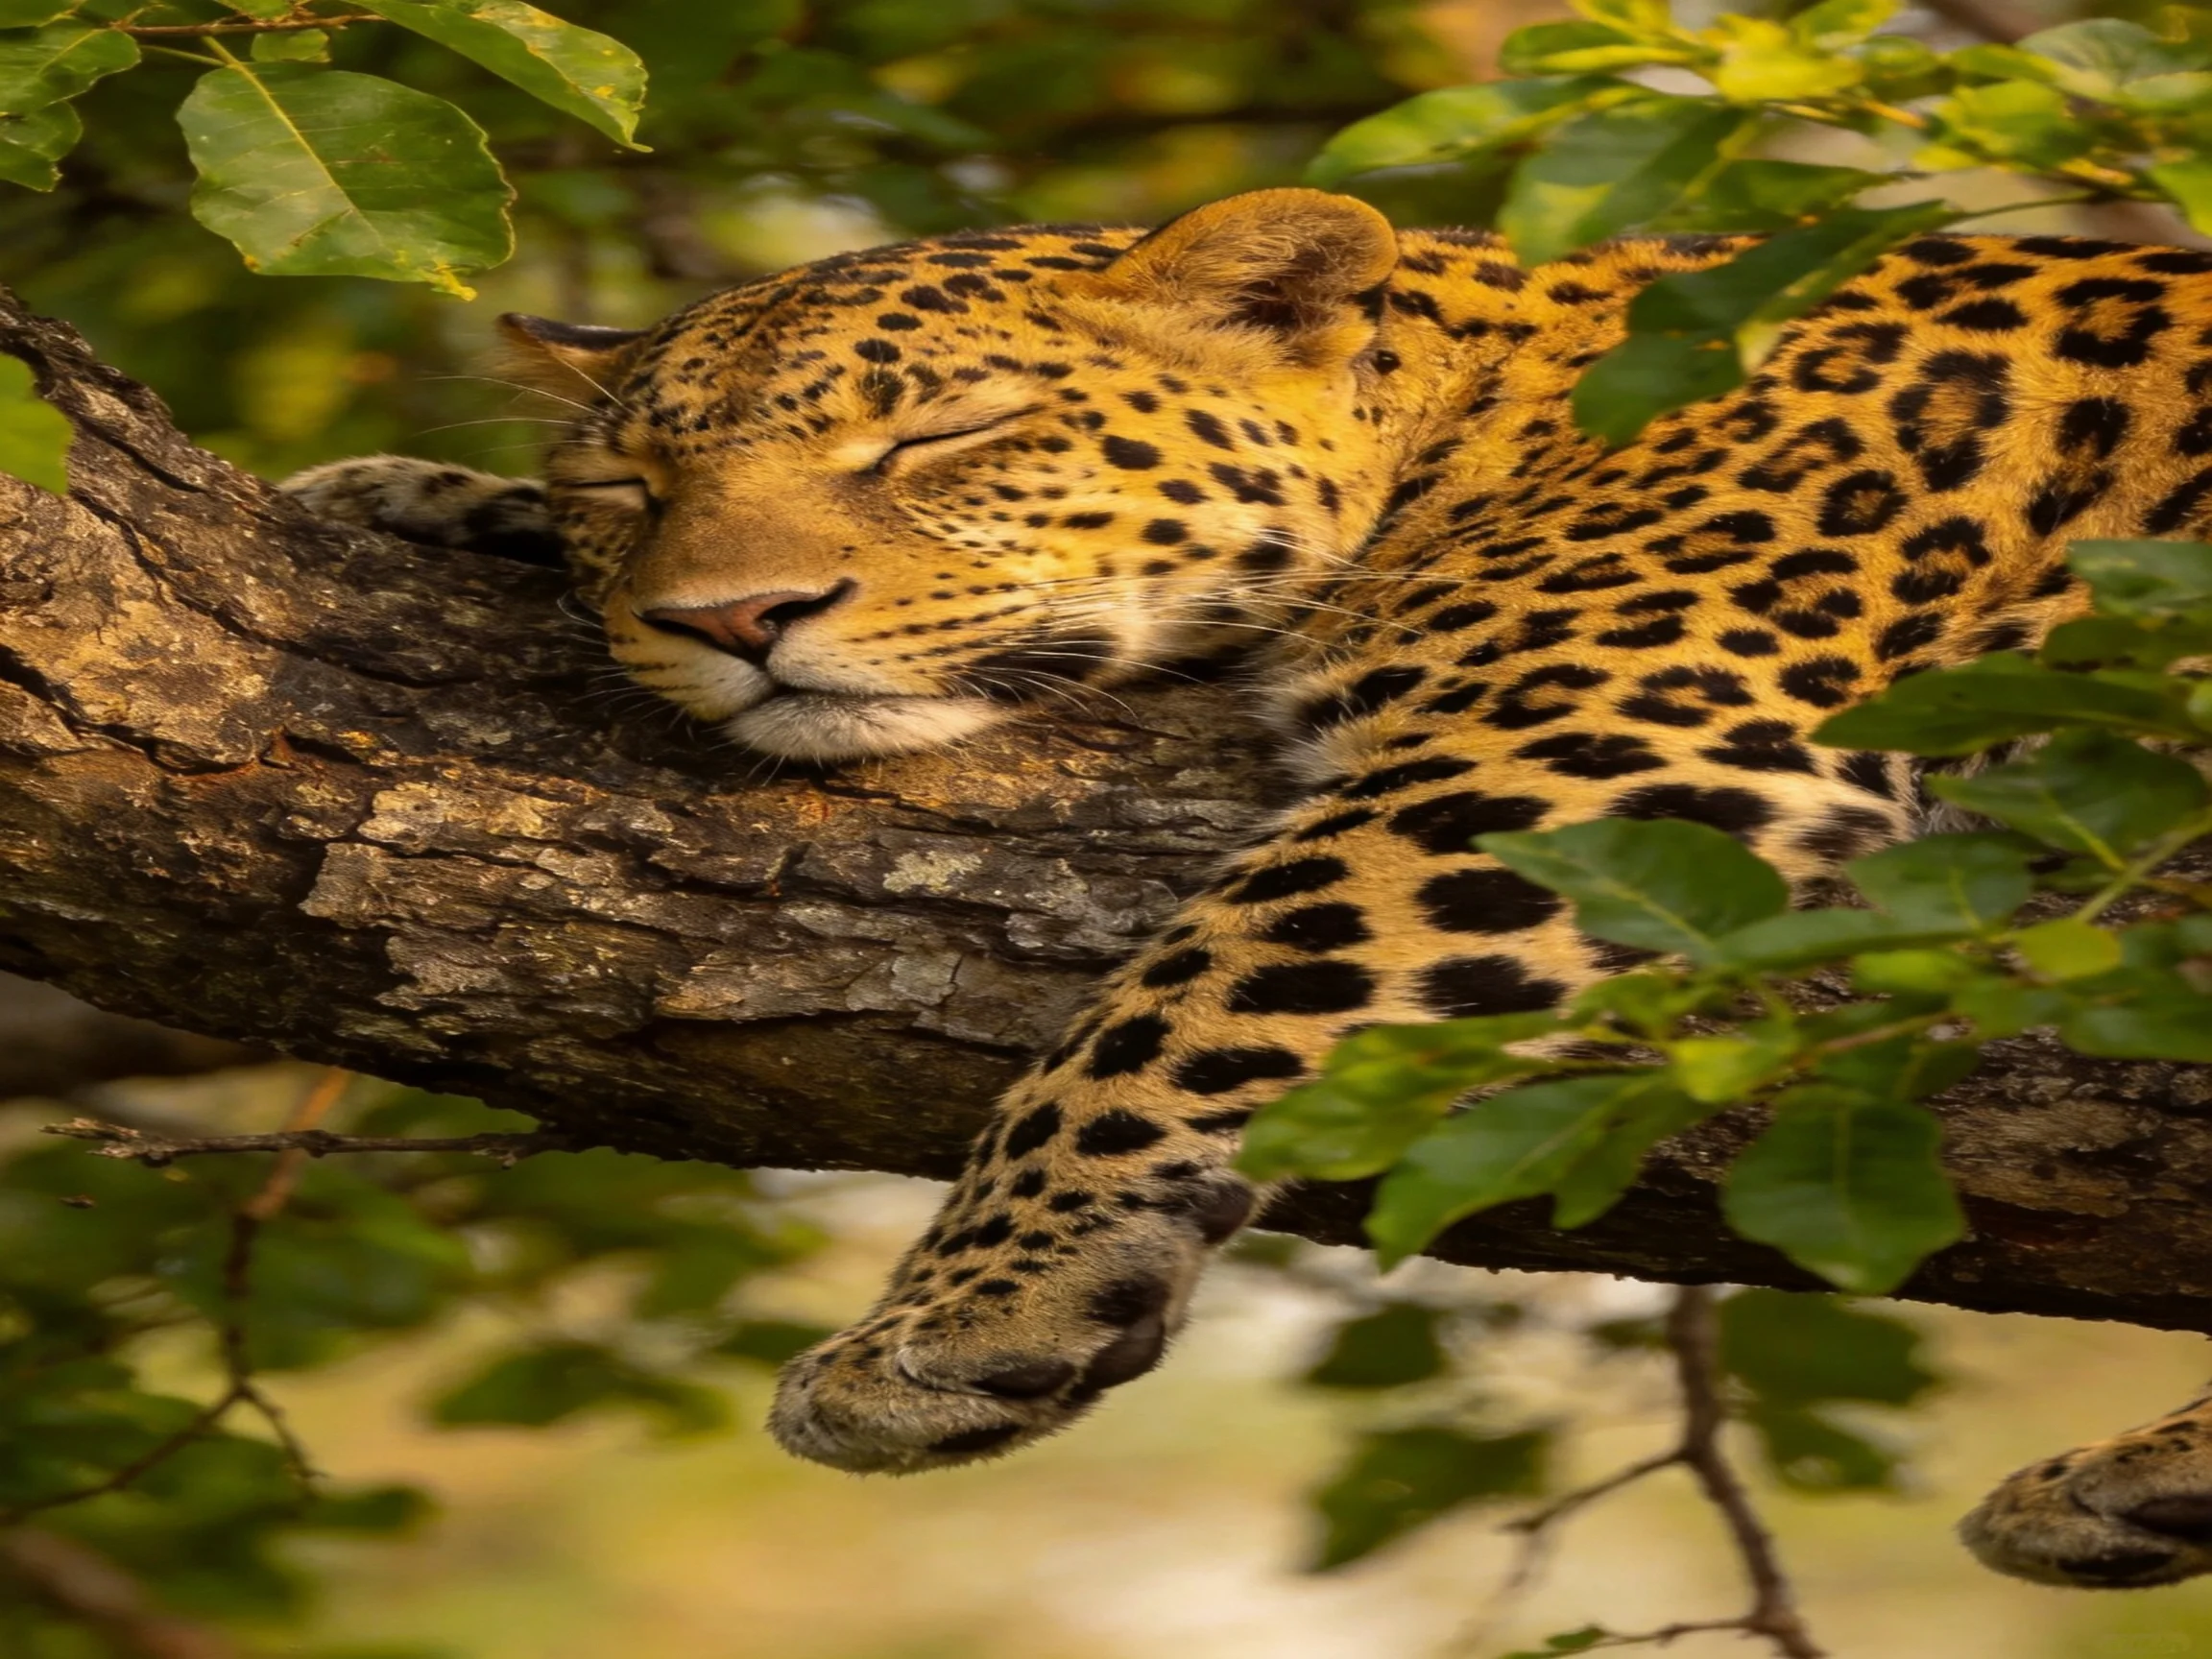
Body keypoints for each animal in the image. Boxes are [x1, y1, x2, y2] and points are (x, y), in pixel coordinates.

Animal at [281, 188, 2212, 1589]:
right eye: (624, 482)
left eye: (944, 437)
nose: (732, 617)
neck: (1485, 415)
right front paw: (407, 494)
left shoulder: (1593, 743)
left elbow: (1178, 1001)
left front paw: (965, 1312)